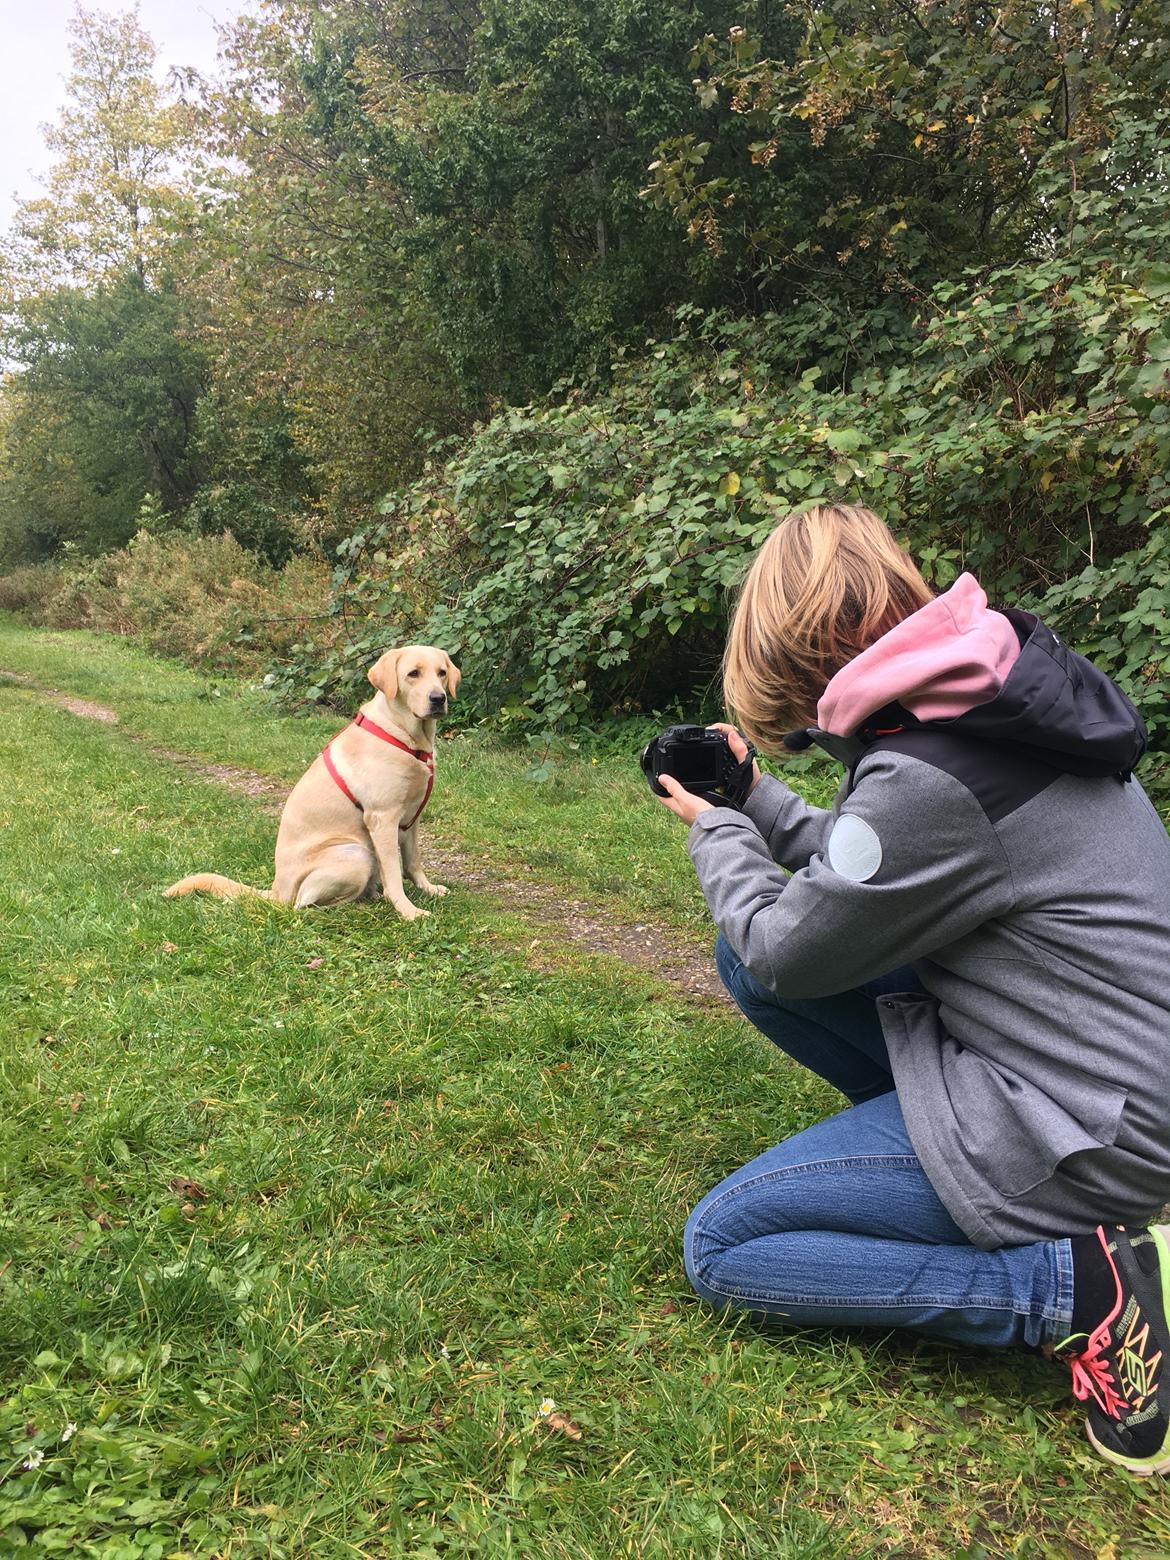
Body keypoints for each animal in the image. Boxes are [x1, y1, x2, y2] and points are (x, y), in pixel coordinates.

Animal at [166, 642, 461, 917]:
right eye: (413, 673)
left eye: (442, 673)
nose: (438, 698)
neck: (406, 736)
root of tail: (277, 890)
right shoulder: (383, 818)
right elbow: (393, 873)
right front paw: (408, 910)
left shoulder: (411, 817)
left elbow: (412, 862)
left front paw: (428, 889)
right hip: (356, 853)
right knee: (306, 903)